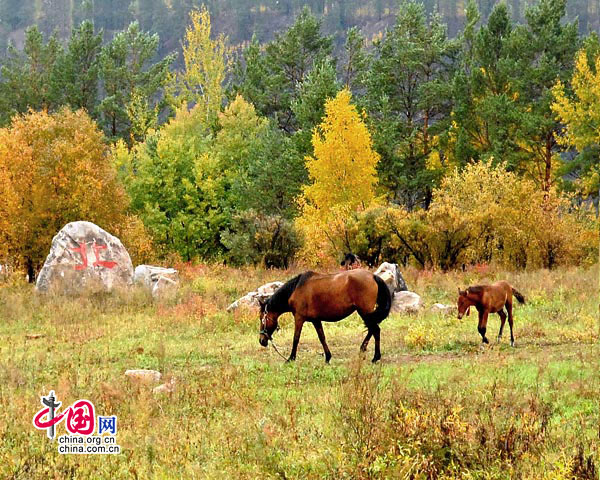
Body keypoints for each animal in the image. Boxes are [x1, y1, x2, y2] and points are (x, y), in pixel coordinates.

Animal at [258, 270, 394, 364]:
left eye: (261, 318)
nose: (261, 341)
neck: (296, 289)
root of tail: (373, 276)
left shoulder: (299, 318)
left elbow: (296, 338)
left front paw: (291, 358)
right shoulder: (316, 320)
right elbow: (322, 337)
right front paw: (328, 357)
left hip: (364, 312)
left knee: (375, 330)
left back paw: (375, 357)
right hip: (366, 313)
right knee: (373, 329)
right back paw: (364, 350)